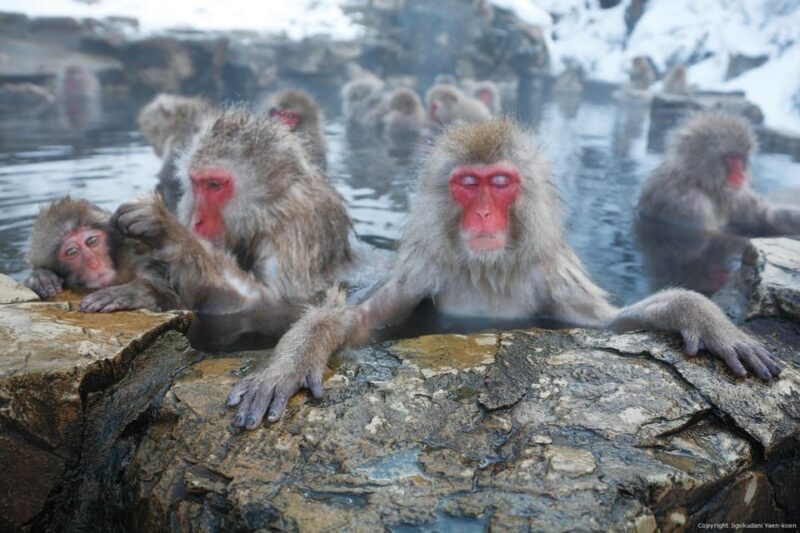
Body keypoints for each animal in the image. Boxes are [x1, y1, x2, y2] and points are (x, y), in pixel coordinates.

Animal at [113, 108, 353, 325]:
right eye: (196, 183)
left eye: (214, 185)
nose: (196, 221)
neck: (265, 211)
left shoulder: (294, 231)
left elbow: (270, 302)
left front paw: (167, 230)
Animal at [227, 118, 781, 430]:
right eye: (468, 184)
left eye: (500, 183)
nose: (484, 215)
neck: (488, 270)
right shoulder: (425, 269)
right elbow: (357, 322)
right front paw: (291, 360)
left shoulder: (552, 275)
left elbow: (607, 324)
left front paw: (701, 316)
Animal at [638, 112, 800, 236]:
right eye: (731, 157)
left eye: (740, 157)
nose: (742, 176)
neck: (700, 183)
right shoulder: (690, 205)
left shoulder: (736, 196)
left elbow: (765, 216)